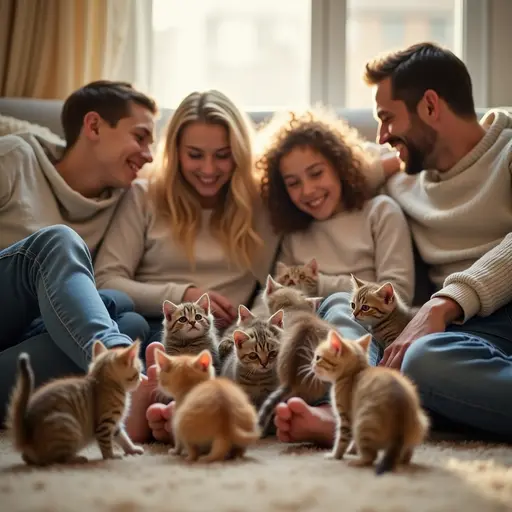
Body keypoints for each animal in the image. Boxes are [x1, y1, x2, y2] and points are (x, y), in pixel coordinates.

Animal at [6, 342, 145, 466]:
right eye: (137, 373)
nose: (141, 380)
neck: (103, 382)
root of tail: (26, 439)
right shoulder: (104, 423)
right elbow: (106, 444)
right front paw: (111, 457)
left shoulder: (114, 424)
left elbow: (123, 437)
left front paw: (132, 449)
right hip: (67, 425)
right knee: (55, 460)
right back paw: (76, 459)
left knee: (29, 459)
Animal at [312, 330, 428, 474]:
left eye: (318, 357)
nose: (311, 364)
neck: (355, 372)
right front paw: (352, 450)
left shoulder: (346, 418)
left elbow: (342, 440)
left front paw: (335, 455)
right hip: (422, 421)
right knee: (407, 454)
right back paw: (402, 460)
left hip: (363, 423)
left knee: (371, 457)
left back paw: (358, 462)